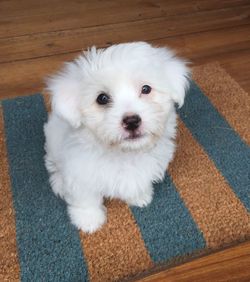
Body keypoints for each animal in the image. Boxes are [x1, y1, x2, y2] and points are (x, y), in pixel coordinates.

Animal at [44, 41, 189, 231]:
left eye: (146, 89)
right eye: (102, 98)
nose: (132, 121)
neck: (124, 154)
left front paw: (140, 196)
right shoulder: (80, 173)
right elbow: (85, 198)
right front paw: (88, 219)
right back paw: (59, 182)